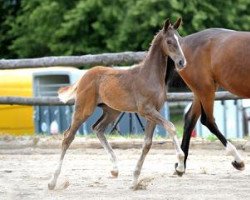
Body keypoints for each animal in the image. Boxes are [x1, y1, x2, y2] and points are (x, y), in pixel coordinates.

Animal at [47, 18, 187, 190]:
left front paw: (134, 181)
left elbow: (147, 143)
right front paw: (180, 167)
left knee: (98, 129)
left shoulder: (154, 112)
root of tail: (84, 76)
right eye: (169, 41)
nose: (182, 62)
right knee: (68, 137)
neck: (150, 76)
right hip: (84, 109)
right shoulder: (146, 110)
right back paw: (52, 181)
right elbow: (171, 127)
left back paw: (114, 169)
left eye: (179, 39)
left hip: (112, 111)